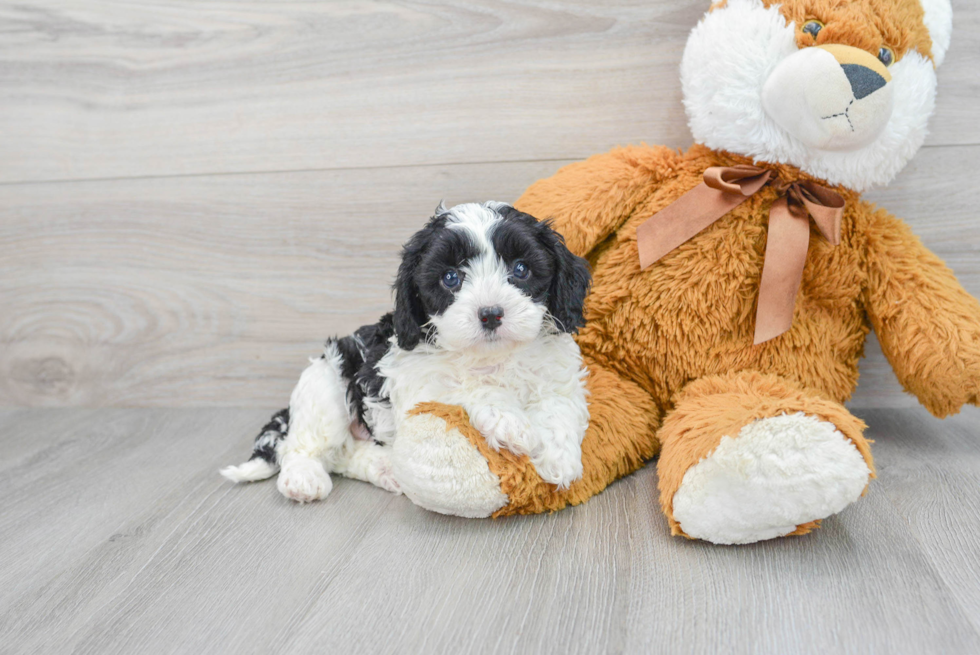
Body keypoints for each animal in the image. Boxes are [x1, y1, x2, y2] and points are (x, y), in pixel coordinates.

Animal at [222, 202, 588, 504]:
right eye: (450, 277)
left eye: (521, 269)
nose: (491, 314)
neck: (491, 357)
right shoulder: (419, 385)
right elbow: (466, 387)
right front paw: (508, 420)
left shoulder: (558, 375)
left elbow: (558, 406)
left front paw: (559, 457)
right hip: (326, 381)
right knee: (301, 445)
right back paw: (303, 479)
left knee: (342, 454)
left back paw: (385, 467)